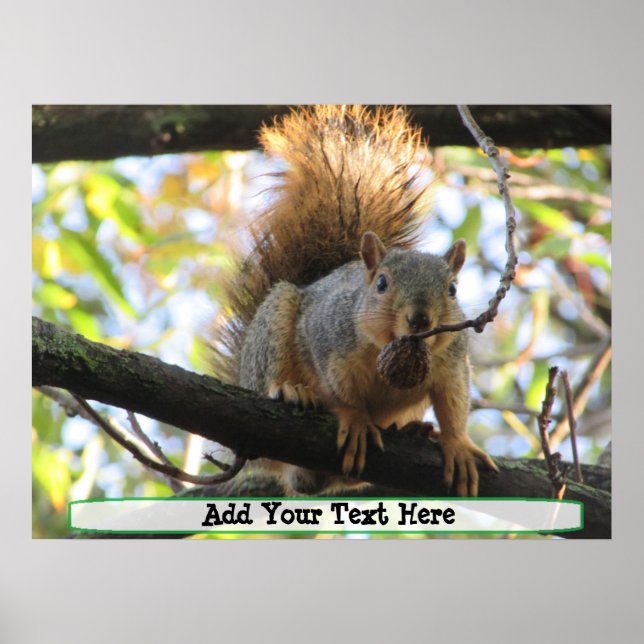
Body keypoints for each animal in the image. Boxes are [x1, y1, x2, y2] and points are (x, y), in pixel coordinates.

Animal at [212, 105, 497, 496]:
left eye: (452, 289)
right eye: (382, 283)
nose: (420, 319)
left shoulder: (451, 363)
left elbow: (453, 402)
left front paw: (457, 443)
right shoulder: (328, 339)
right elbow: (340, 392)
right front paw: (356, 418)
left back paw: (414, 430)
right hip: (273, 327)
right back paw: (290, 391)